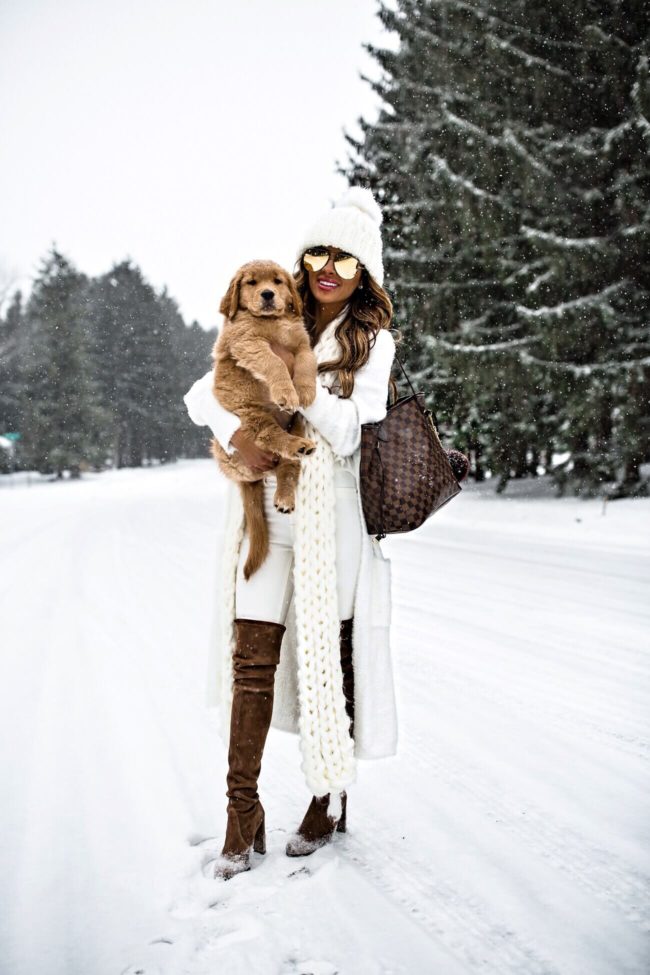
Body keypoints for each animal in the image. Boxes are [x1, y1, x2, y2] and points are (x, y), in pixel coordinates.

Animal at [210, 260, 316, 580]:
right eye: (252, 283)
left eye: (278, 282)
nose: (268, 294)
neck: (272, 322)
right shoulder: (248, 342)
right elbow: (276, 362)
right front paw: (286, 392)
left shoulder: (302, 343)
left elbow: (306, 363)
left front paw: (305, 391)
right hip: (252, 416)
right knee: (271, 437)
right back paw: (294, 446)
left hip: (296, 423)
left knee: (288, 467)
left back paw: (287, 492)